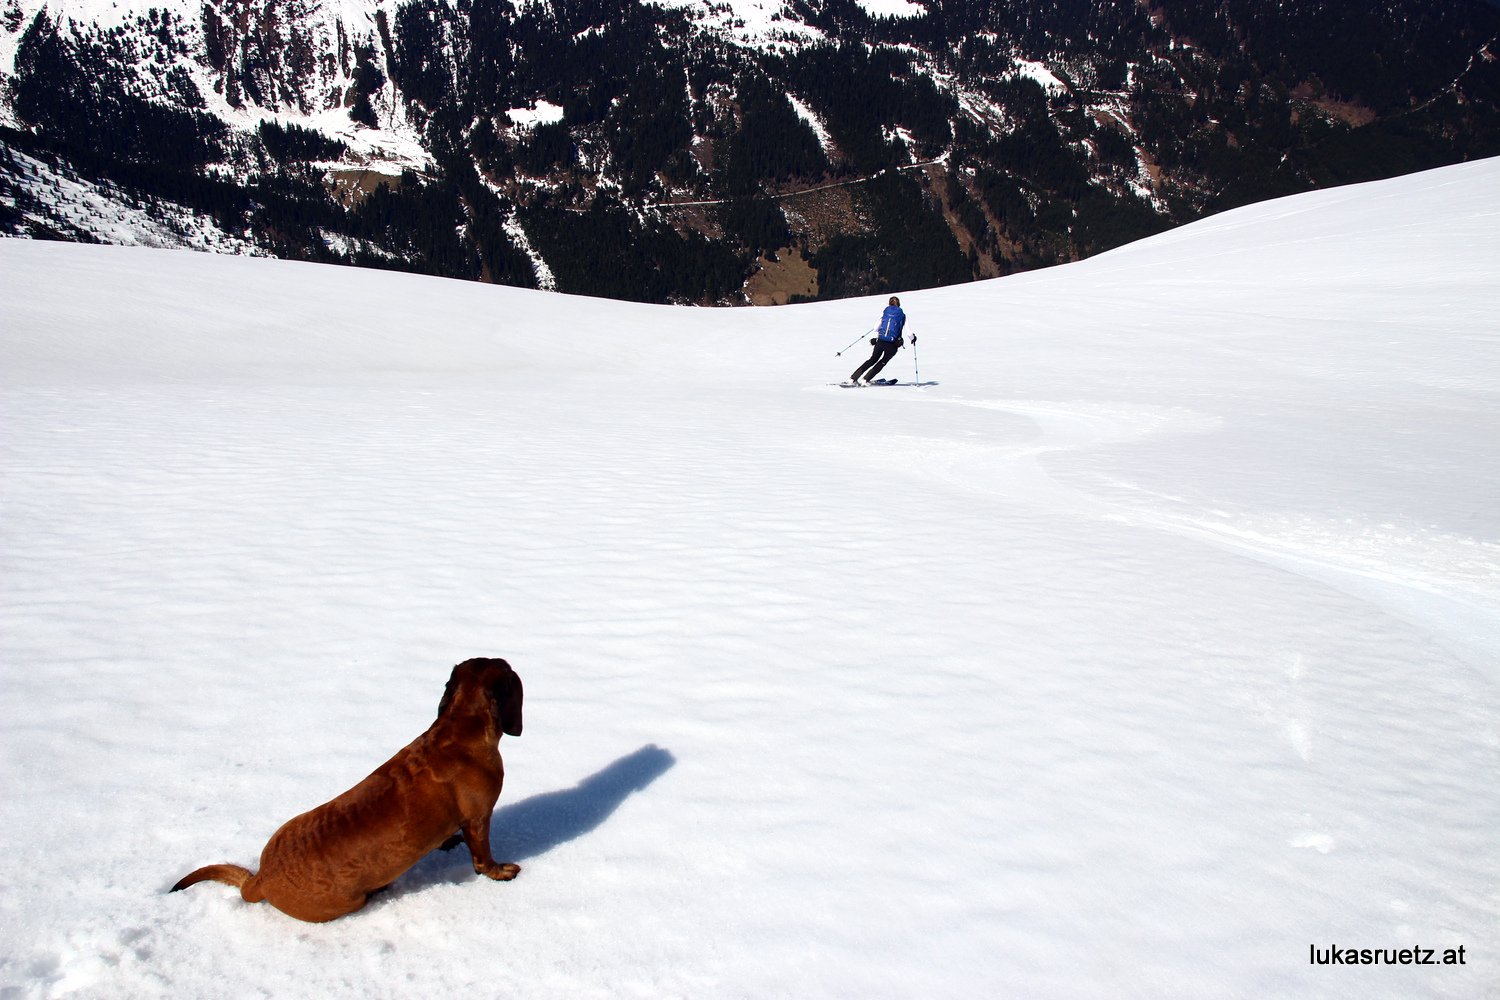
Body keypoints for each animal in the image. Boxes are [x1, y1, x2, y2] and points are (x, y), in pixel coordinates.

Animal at [171, 656, 525, 923]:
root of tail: (259, 879)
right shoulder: (479, 819)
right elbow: (483, 857)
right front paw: (500, 872)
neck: (457, 731)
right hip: (349, 902)